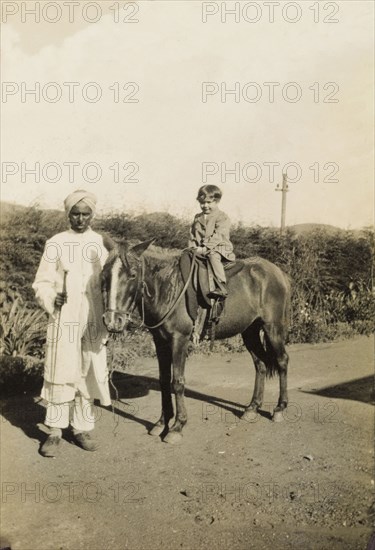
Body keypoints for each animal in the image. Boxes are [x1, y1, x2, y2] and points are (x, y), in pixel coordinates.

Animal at [103, 244, 290, 446]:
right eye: (105, 275)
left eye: (132, 274)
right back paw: (252, 408)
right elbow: (163, 381)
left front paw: (177, 426)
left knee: (282, 361)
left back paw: (280, 408)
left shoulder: (179, 340)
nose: (112, 321)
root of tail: (278, 271)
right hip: (250, 331)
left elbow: (177, 382)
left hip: (272, 327)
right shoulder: (160, 341)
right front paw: (162, 422)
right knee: (260, 364)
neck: (167, 286)